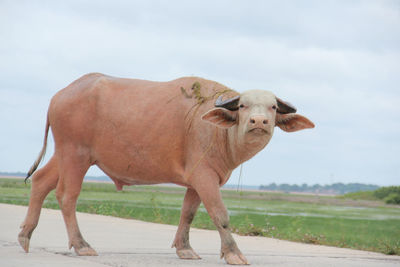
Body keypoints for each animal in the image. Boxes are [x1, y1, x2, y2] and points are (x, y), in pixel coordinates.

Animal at [18, 73, 314, 266]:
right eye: (243, 106)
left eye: (272, 107)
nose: (259, 121)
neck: (220, 133)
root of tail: (60, 95)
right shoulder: (205, 176)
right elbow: (220, 214)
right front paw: (233, 253)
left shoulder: (197, 181)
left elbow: (188, 214)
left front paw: (185, 249)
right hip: (75, 155)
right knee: (67, 196)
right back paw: (81, 245)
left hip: (65, 155)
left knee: (41, 181)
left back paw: (25, 235)